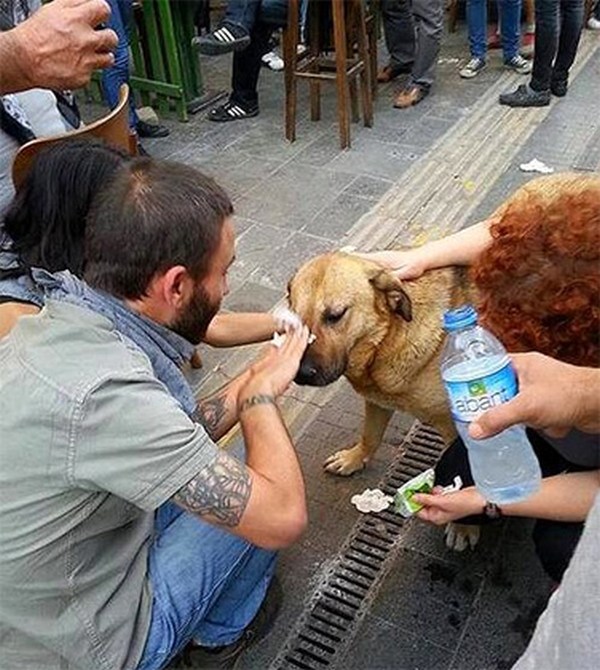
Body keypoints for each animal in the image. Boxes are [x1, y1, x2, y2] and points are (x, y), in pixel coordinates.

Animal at [288, 252, 476, 478]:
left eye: (336, 315)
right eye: (293, 320)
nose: (301, 373)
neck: (387, 340)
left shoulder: (453, 428)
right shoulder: (376, 401)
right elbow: (370, 435)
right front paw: (353, 459)